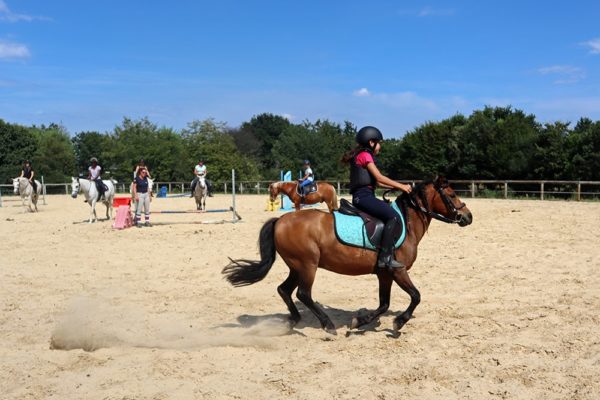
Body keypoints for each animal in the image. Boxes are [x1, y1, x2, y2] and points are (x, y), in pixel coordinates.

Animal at [224, 177, 474, 334]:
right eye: (452, 194)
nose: (468, 216)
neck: (406, 223)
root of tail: (280, 220)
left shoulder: (385, 274)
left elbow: (384, 304)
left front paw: (359, 322)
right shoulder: (398, 270)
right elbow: (416, 296)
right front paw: (398, 323)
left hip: (296, 266)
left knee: (284, 290)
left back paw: (293, 319)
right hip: (307, 265)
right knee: (303, 293)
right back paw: (327, 324)